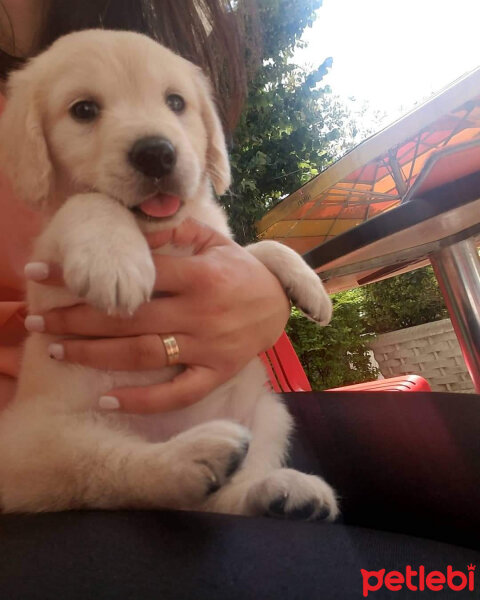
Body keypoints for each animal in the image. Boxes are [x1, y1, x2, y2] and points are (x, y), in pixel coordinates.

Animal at [0, 30, 338, 520]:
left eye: (175, 102)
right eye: (83, 110)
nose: (157, 154)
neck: (156, 235)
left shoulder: (212, 244)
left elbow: (250, 250)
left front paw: (309, 285)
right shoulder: (46, 275)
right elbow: (85, 202)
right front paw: (114, 257)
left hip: (271, 413)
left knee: (224, 501)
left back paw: (281, 492)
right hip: (38, 442)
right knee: (124, 475)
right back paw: (193, 458)